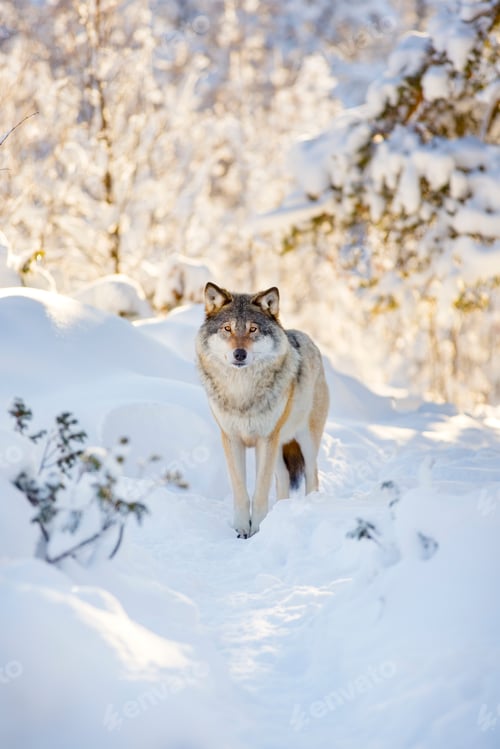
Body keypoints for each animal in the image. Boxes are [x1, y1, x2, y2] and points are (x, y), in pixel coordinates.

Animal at [196, 282, 329, 538]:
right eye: (227, 328)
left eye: (253, 329)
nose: (239, 354)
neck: (242, 393)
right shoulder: (232, 439)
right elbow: (241, 491)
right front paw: (241, 529)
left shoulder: (265, 440)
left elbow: (259, 493)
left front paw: (257, 529)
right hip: (279, 446)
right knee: (284, 478)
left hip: (304, 440)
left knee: (312, 475)